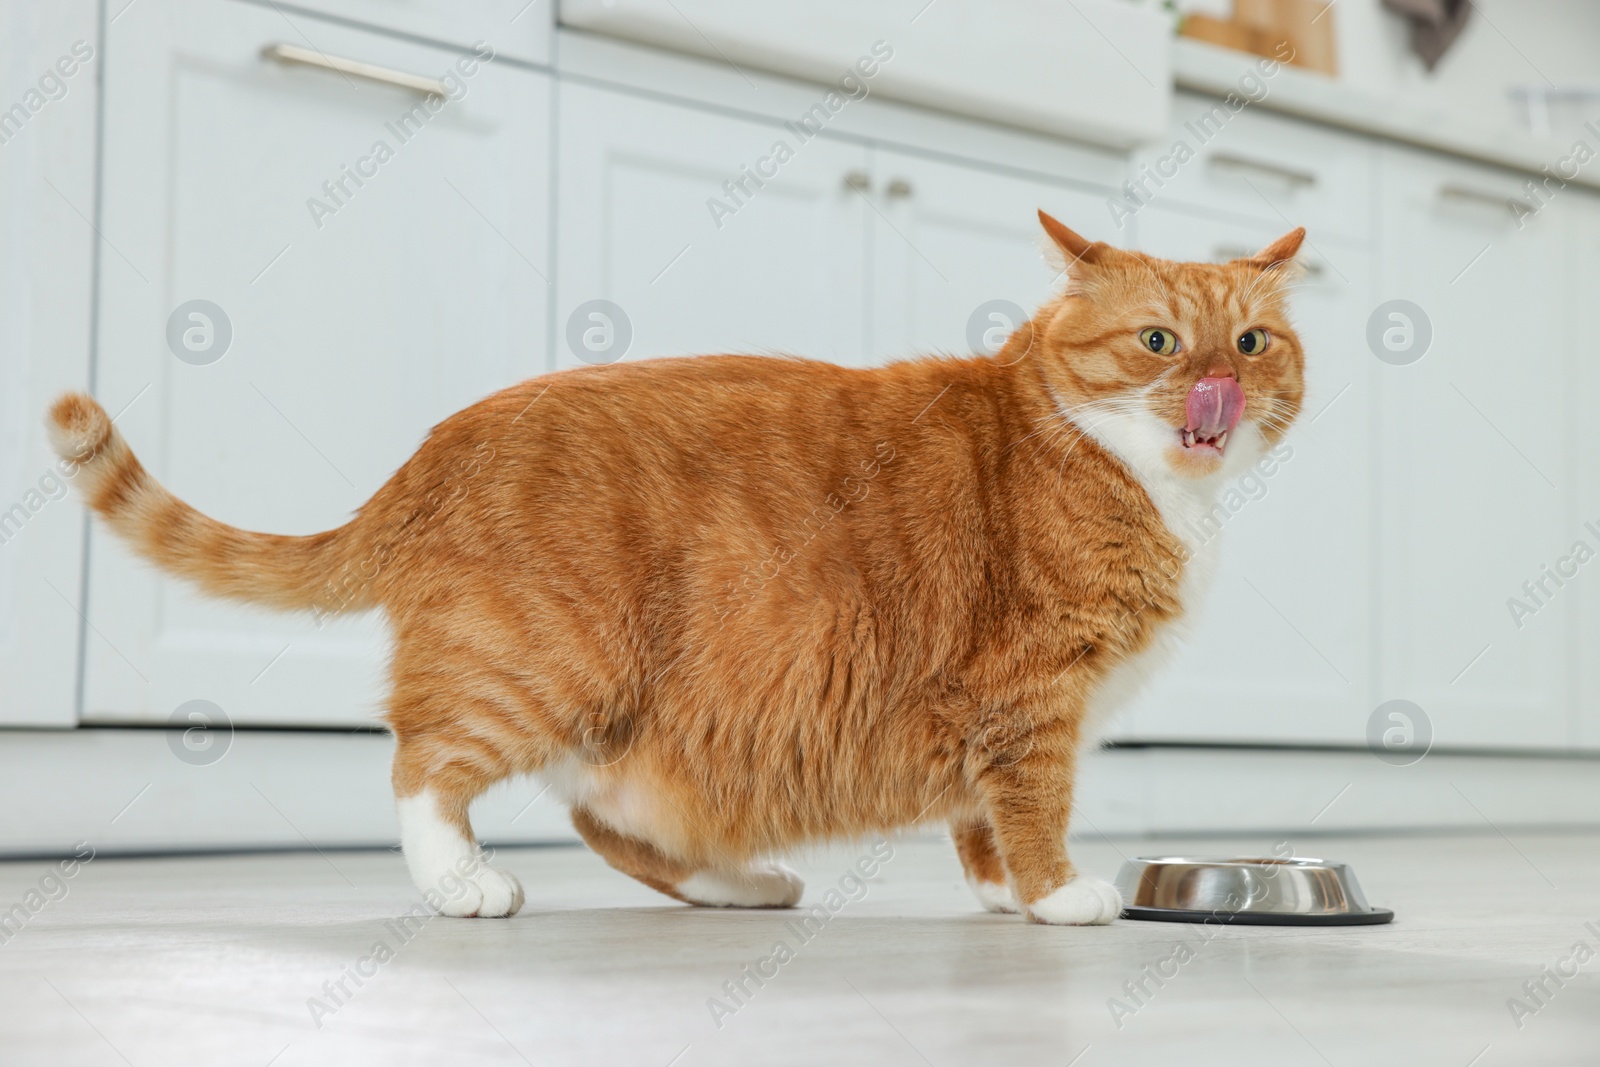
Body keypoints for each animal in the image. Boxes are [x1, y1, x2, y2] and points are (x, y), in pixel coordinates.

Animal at [50, 212, 1305, 921]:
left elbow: (979, 819)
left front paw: (1000, 894)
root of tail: (443, 440)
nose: (1217, 387)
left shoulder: (999, 719)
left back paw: (736, 882)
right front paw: (1052, 897)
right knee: (423, 765)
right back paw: (460, 882)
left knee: (608, 815)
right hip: (542, 666)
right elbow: (1033, 809)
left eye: (1252, 342)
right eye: (1157, 341)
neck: (1138, 476)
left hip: (623, 713)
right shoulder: (1031, 696)